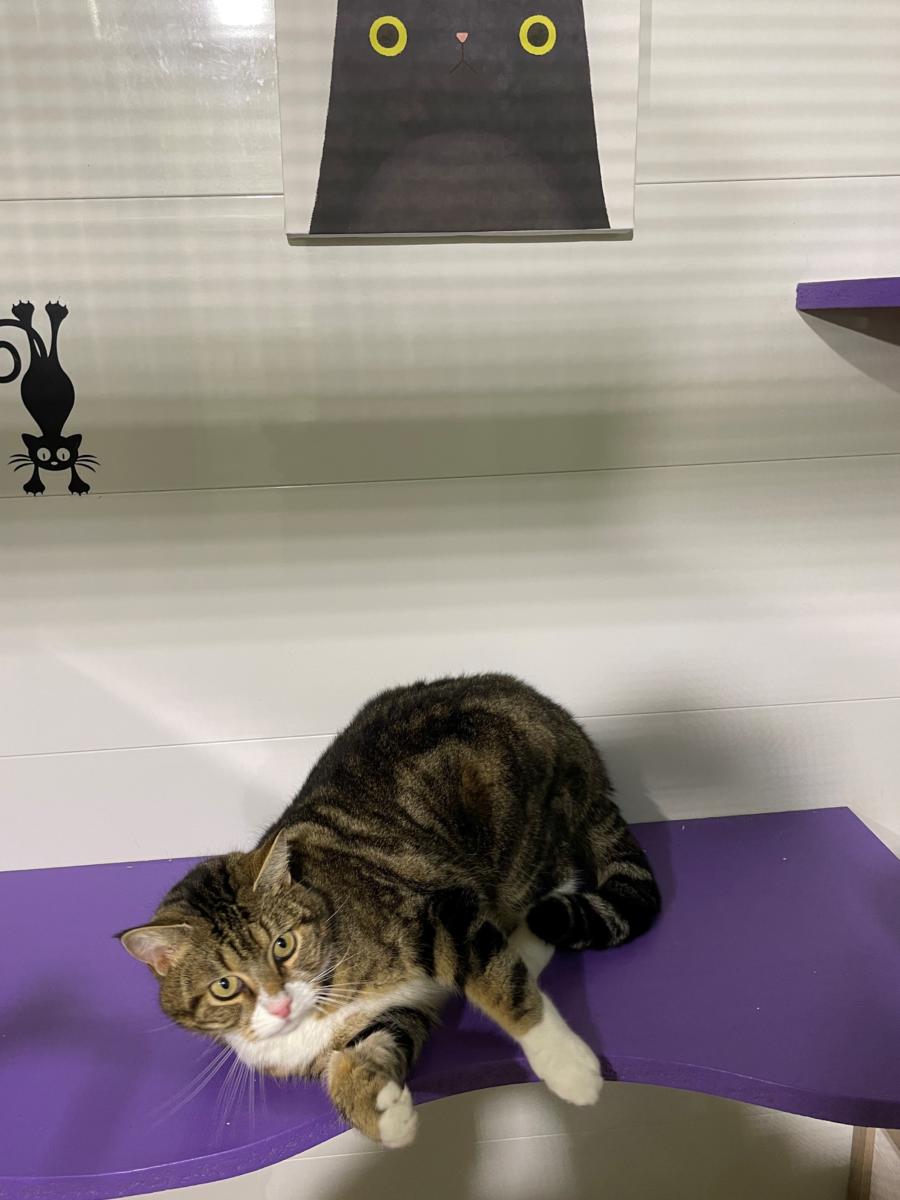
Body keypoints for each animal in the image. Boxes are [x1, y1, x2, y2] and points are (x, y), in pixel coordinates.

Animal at [1, 301, 98, 495]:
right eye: (43, 454)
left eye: (63, 454)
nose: (53, 463)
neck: (52, 432)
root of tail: (44, 361)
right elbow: (35, 468)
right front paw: (34, 485)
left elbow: (73, 468)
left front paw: (78, 485)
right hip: (39, 360)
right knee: (33, 336)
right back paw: (26, 312)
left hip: (51, 359)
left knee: (49, 338)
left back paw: (54, 311)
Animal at [120, 674, 660, 1146]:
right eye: (225, 986)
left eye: (283, 944)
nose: (279, 1003)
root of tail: (568, 727)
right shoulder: (393, 1012)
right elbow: (369, 1050)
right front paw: (380, 1113)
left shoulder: (437, 913)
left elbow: (500, 984)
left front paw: (567, 1066)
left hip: (521, 833)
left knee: (552, 888)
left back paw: (524, 947)